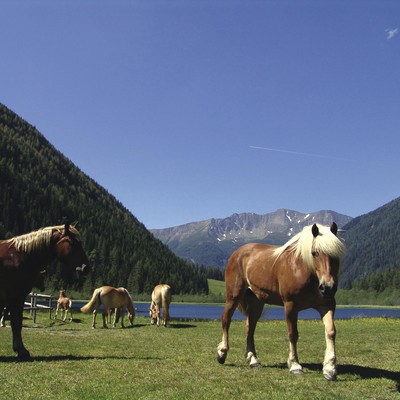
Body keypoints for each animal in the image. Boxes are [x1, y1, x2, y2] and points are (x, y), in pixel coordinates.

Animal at [0, 223, 89, 358]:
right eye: (72, 242)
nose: (85, 268)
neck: (19, 256)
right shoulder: (17, 297)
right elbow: (16, 323)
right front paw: (21, 350)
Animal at [217, 222, 346, 382]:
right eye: (314, 253)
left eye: (336, 254)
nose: (328, 287)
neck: (303, 270)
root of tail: (237, 253)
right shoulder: (290, 305)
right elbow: (293, 334)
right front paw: (295, 366)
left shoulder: (326, 305)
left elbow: (331, 332)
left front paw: (330, 369)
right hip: (233, 296)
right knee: (226, 319)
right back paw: (222, 353)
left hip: (256, 303)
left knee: (250, 328)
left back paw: (253, 360)